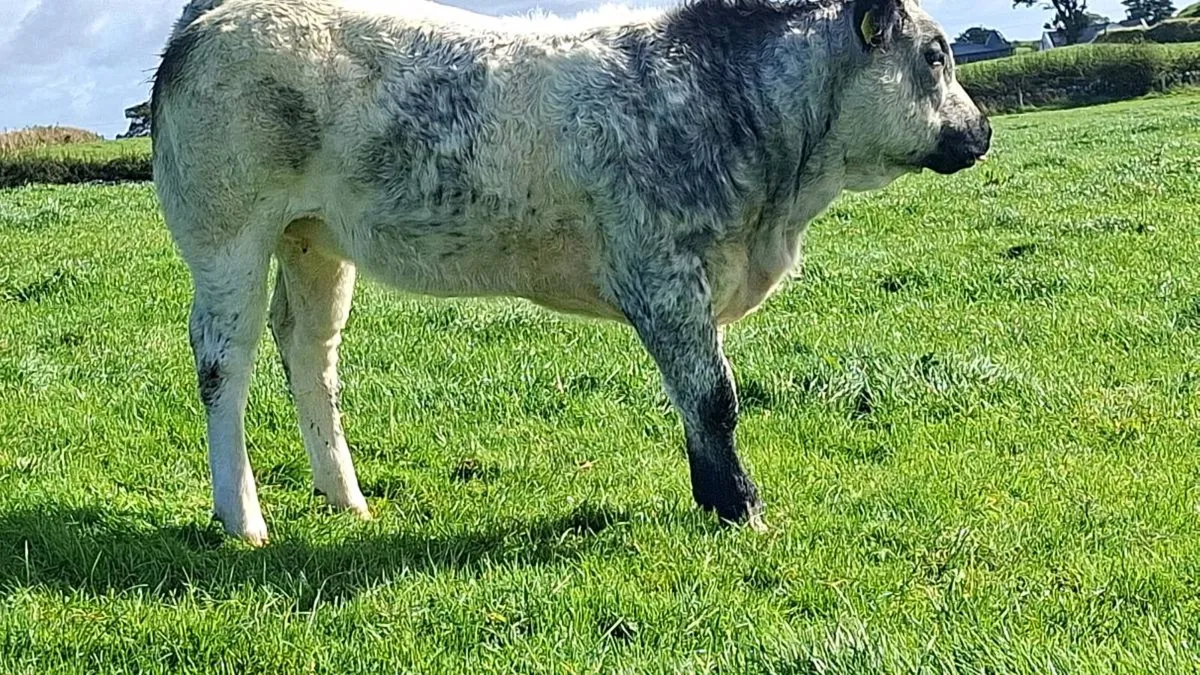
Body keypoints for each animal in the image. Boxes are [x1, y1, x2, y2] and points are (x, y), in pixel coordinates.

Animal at [151, 0, 991, 545]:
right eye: (936, 54)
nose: (982, 130)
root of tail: (209, 18)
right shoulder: (664, 274)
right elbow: (713, 398)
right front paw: (739, 507)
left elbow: (698, 400)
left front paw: (712, 498)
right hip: (227, 233)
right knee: (223, 362)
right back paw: (243, 518)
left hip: (313, 242)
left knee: (309, 354)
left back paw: (345, 497)